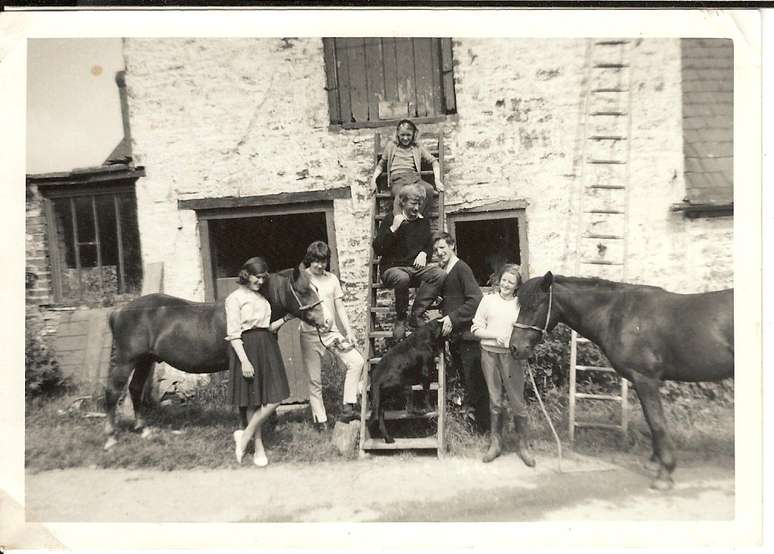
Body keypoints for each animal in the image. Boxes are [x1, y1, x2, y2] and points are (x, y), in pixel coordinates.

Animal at [104, 260, 326, 446]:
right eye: (303, 291)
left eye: (316, 288)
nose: (324, 321)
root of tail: (118, 311)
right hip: (126, 361)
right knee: (113, 392)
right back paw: (111, 437)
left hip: (144, 360)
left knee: (134, 389)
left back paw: (143, 429)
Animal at [510, 270, 732, 488]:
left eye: (535, 305)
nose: (515, 348)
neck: (619, 314)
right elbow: (652, 421)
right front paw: (655, 462)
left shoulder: (645, 378)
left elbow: (656, 421)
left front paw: (664, 474)